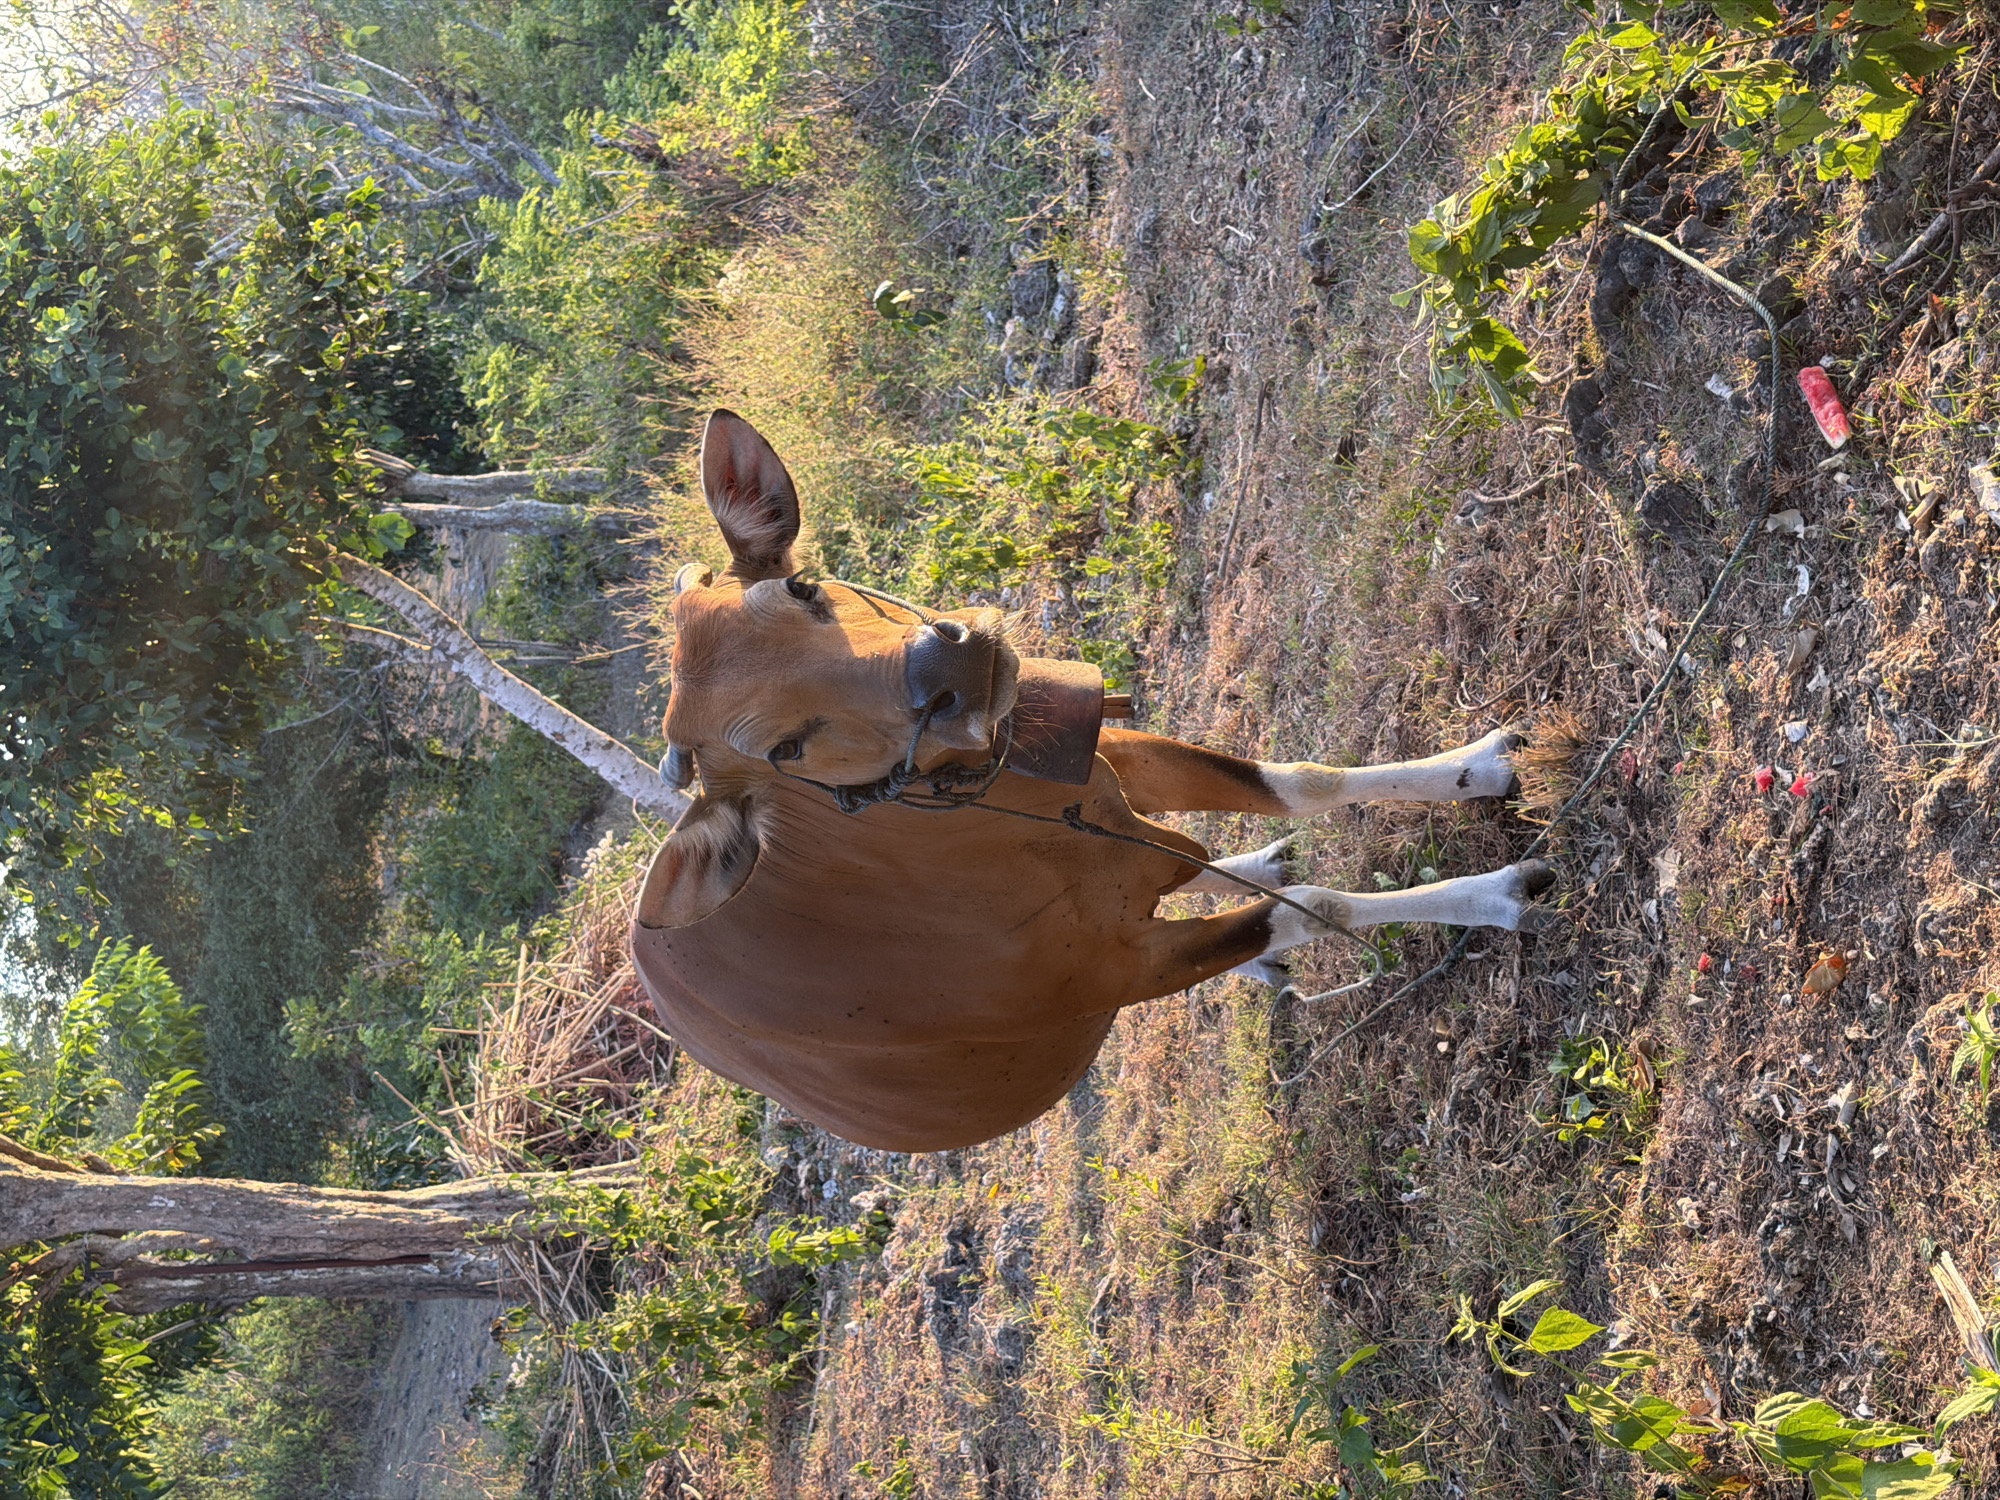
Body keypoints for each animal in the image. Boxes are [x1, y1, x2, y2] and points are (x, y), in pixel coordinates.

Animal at [631, 411, 1555, 1152]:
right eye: (782, 749)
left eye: (802, 585)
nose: (953, 668)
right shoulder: (1124, 968)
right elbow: (1313, 906)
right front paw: (1499, 895)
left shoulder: (1109, 753)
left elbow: (1302, 780)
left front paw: (1479, 768)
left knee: (1196, 858)